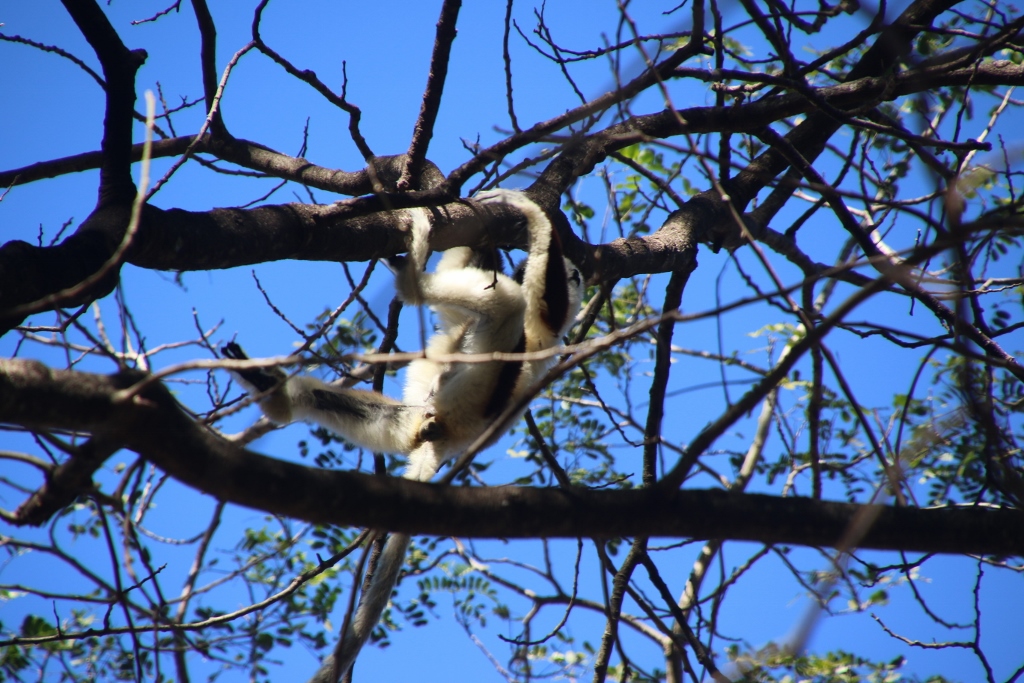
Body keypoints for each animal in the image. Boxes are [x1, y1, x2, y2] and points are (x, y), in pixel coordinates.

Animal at [222, 189, 584, 680]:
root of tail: (446, 440)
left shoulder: (551, 317)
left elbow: (540, 296)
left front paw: (527, 210)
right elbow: (464, 279)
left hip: (470, 394)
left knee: (506, 306)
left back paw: (411, 280)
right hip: (420, 416)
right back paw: (276, 395)